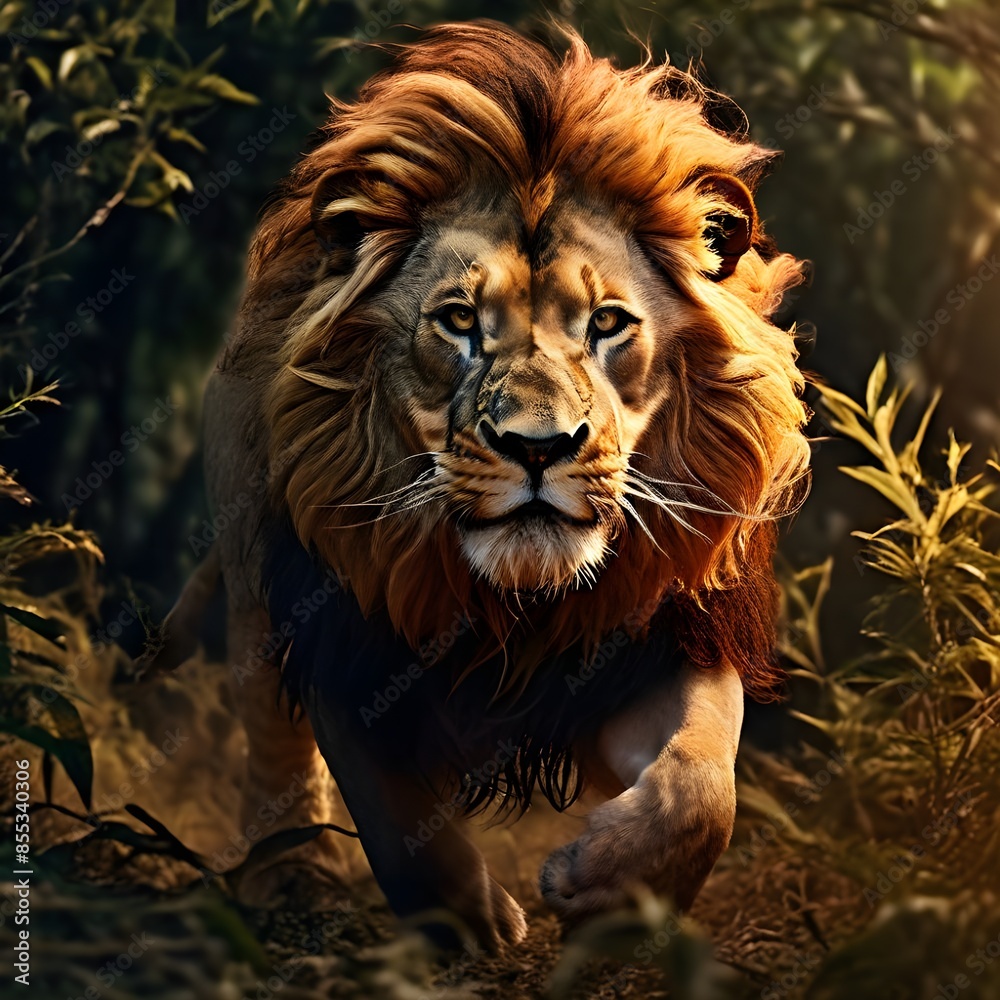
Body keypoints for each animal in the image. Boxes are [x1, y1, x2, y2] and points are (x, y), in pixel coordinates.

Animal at [152, 20, 811, 950]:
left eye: (607, 324)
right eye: (460, 321)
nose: (539, 447)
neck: (514, 605)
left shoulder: (658, 636)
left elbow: (701, 784)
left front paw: (607, 884)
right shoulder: (348, 633)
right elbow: (391, 816)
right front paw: (467, 921)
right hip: (252, 574)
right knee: (269, 733)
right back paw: (296, 873)